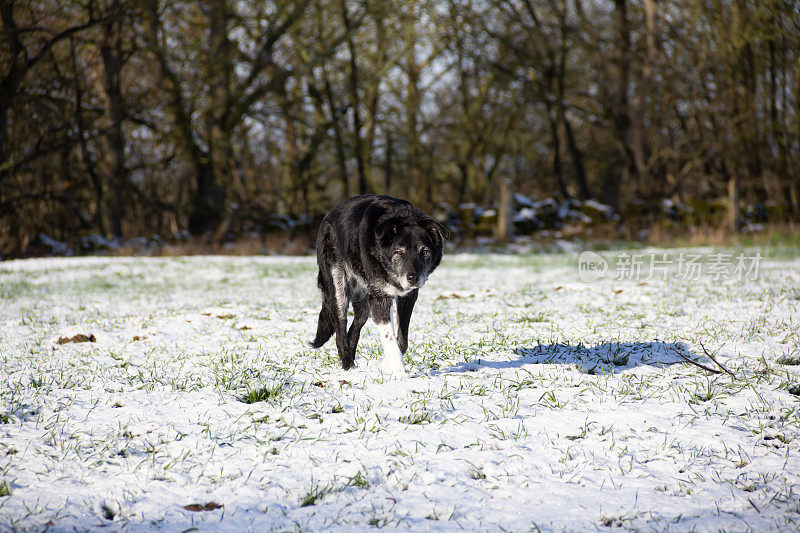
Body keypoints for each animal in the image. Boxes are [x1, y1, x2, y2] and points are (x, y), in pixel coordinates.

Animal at [310, 193, 446, 376]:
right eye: (399, 252)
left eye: (424, 251)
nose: (413, 278)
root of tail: (327, 217)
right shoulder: (380, 299)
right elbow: (390, 339)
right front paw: (399, 372)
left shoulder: (407, 298)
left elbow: (401, 341)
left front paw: (386, 365)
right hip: (338, 289)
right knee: (340, 328)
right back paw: (347, 365)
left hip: (364, 302)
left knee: (356, 324)